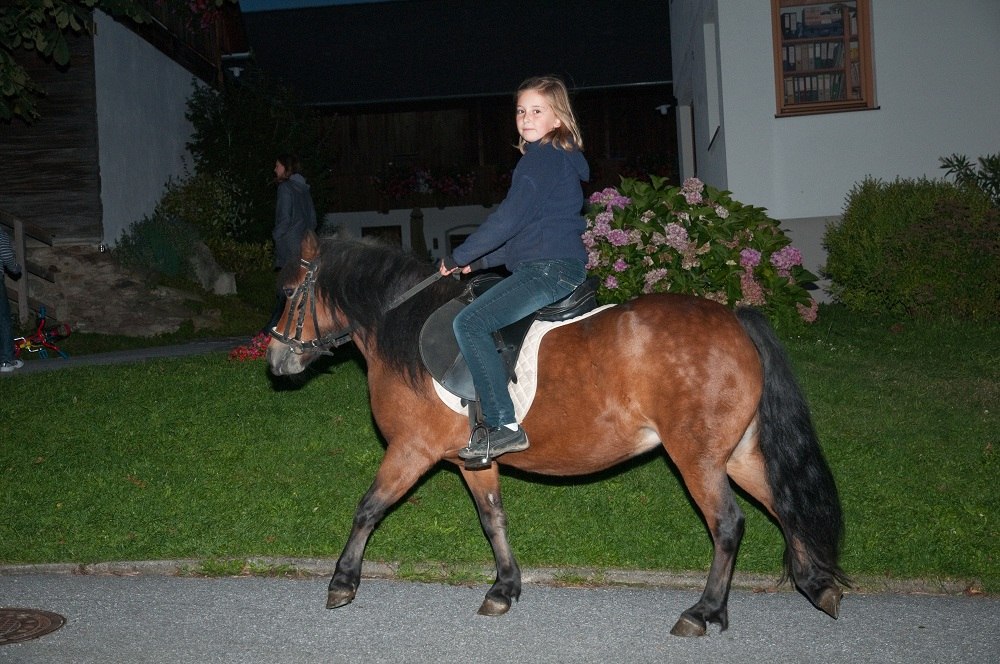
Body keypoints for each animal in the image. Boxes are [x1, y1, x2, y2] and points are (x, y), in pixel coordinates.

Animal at [266, 231, 847, 637]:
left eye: (290, 292)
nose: (274, 358)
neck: (404, 330)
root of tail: (736, 319)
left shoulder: (412, 450)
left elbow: (368, 507)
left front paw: (342, 581)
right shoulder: (473, 459)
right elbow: (493, 519)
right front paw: (504, 588)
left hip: (698, 459)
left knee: (728, 524)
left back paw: (704, 612)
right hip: (740, 454)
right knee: (783, 503)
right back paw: (817, 583)